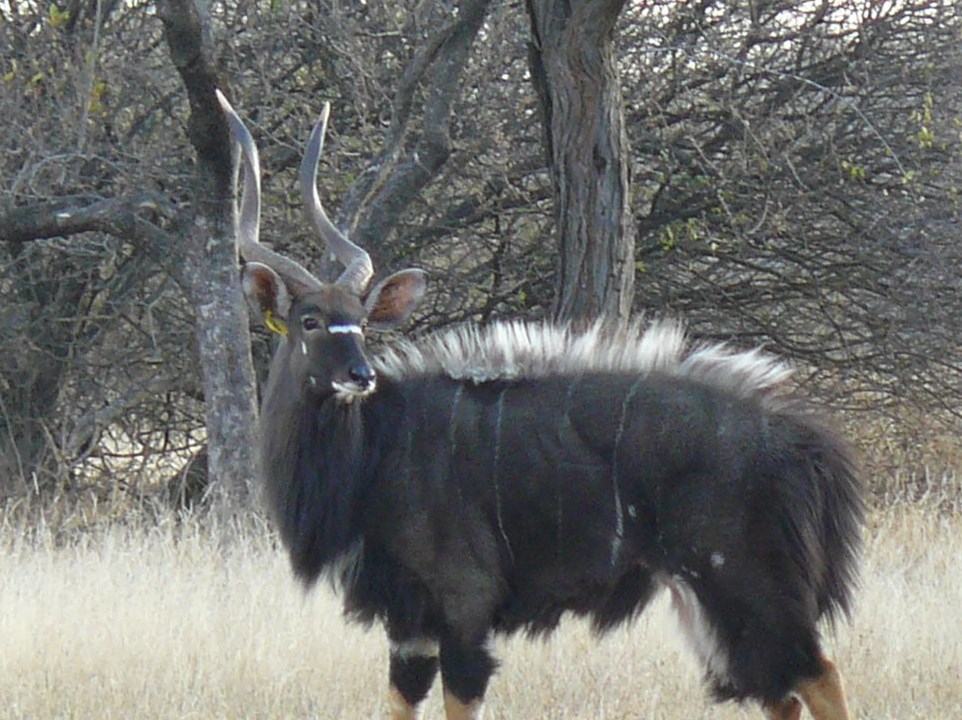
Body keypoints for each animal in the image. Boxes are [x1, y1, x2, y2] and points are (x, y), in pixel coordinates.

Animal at [216, 90, 862, 720]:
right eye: (310, 320)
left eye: (363, 322)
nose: (361, 375)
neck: (374, 452)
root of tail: (806, 443)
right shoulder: (409, 626)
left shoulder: (464, 608)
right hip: (710, 603)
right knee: (781, 694)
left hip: (749, 584)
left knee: (821, 675)